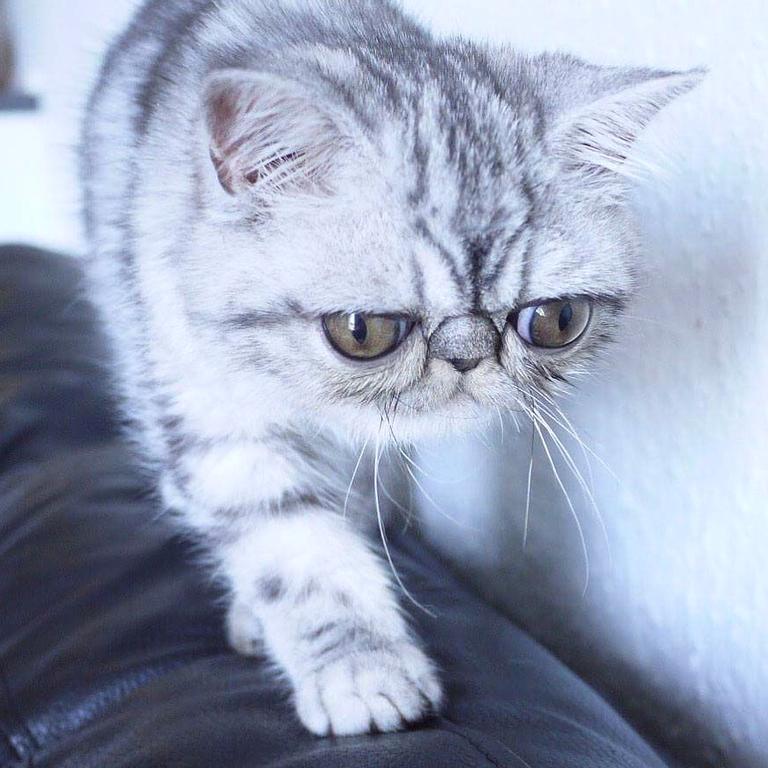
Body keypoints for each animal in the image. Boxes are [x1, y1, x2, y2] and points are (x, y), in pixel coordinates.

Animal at [82, 0, 704, 736]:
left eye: (555, 321)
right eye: (363, 331)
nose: (468, 354)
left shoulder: (363, 445)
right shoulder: (208, 405)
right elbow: (293, 545)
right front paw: (361, 670)